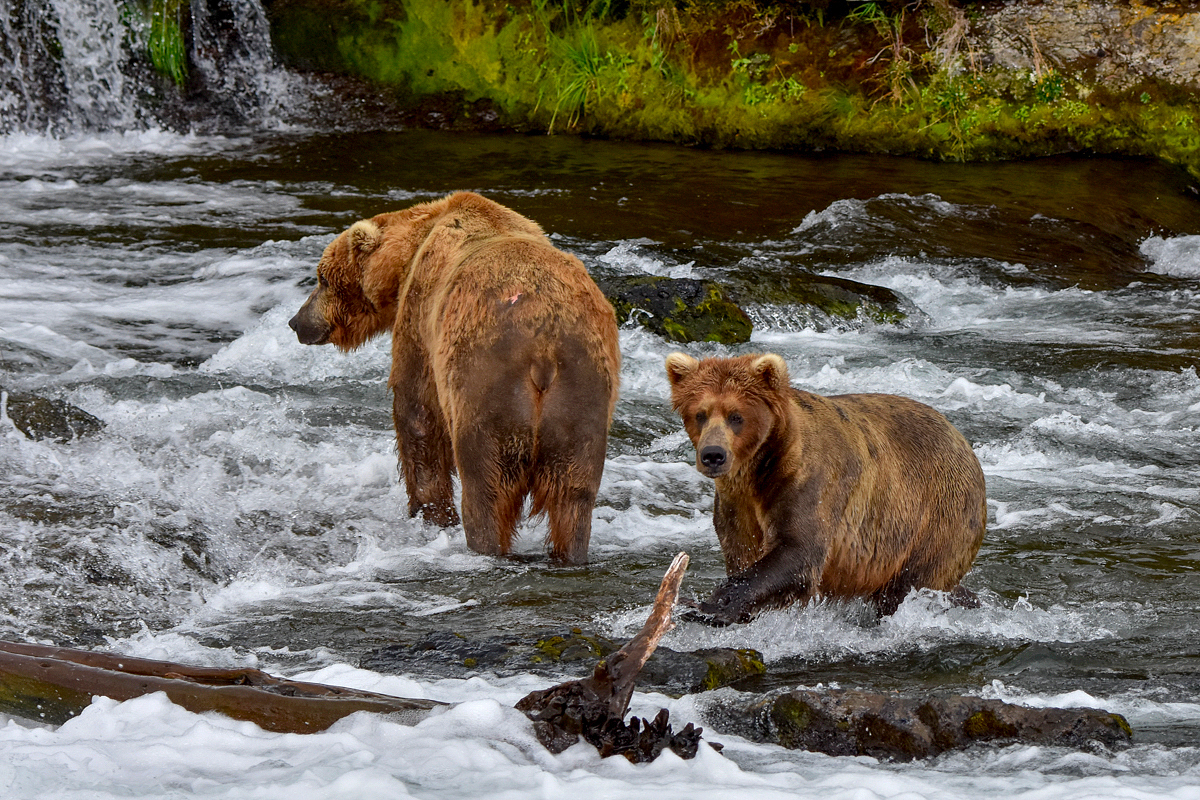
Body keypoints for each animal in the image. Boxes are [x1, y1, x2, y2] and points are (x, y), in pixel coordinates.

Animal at [289, 191, 619, 563]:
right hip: (581, 393)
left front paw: (429, 513)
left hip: (488, 382)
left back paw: (482, 542)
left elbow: (417, 412)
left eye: (322, 278)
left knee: (486, 484)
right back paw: (571, 550)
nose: (297, 321)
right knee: (574, 494)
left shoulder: (421, 317)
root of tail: (543, 347)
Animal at [667, 352, 984, 623]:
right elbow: (741, 551)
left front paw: (709, 605)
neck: (759, 470)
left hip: (935, 520)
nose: (713, 454)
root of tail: (962, 440)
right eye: (700, 414)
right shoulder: (736, 504)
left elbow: (798, 550)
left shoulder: (809, 483)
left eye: (736, 416)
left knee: (910, 585)